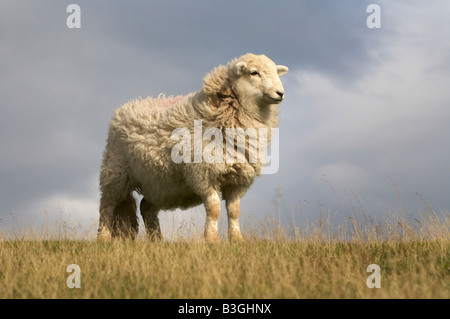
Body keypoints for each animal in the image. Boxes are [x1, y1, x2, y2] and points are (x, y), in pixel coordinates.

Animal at [98, 53, 288, 242]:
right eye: (254, 72)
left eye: (276, 72)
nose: (280, 93)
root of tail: (128, 106)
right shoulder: (205, 174)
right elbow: (214, 209)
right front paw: (212, 239)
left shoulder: (237, 179)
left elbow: (234, 212)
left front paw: (236, 240)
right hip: (116, 172)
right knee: (107, 204)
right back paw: (103, 237)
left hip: (158, 182)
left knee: (146, 206)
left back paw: (157, 240)